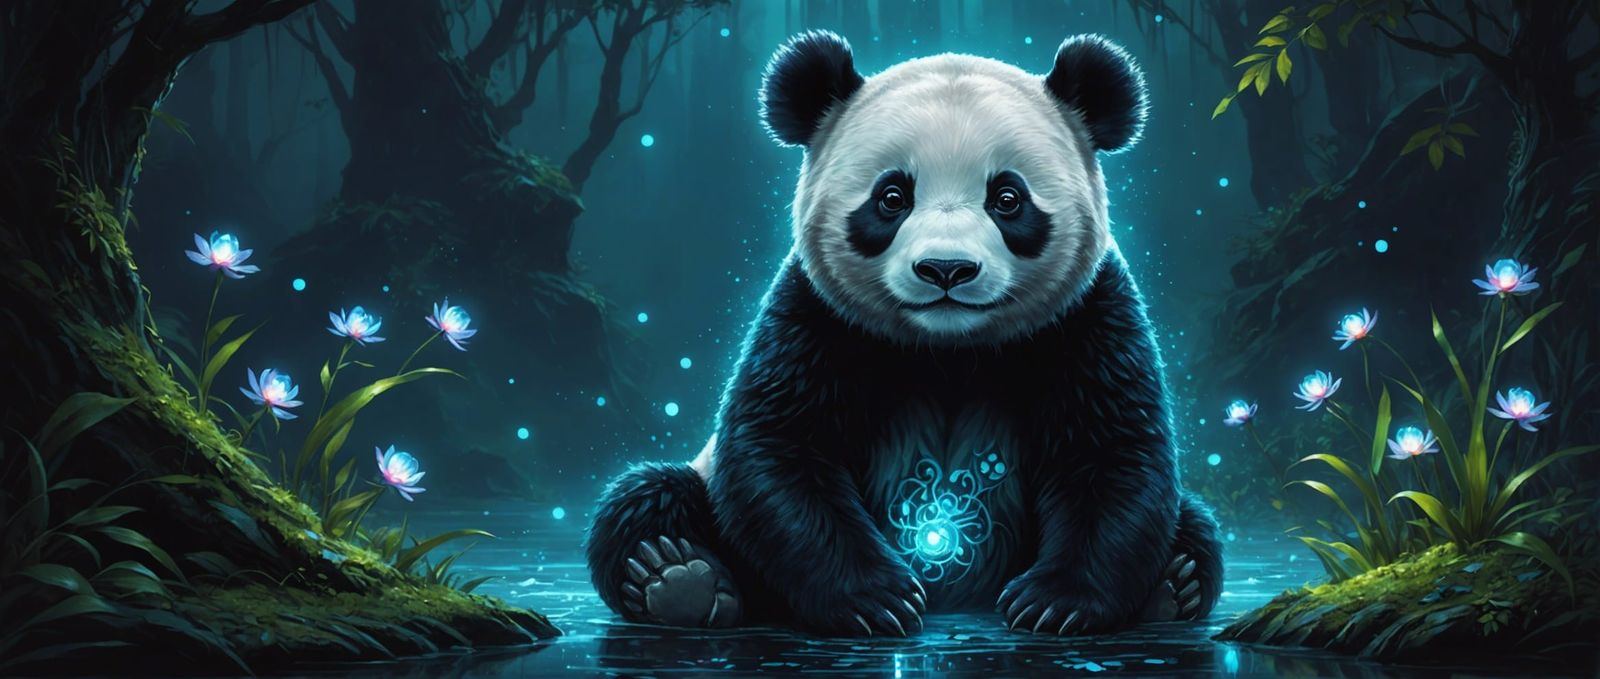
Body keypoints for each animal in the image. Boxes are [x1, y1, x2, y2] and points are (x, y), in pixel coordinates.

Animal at [586, 31, 1222, 637]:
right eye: (892, 197)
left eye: (1007, 198)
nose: (946, 269)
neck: (949, 348)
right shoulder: (817, 318)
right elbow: (779, 447)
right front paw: (878, 600)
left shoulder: (1086, 318)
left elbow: (1111, 452)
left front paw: (1054, 603)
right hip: (701, 480)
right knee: (647, 497)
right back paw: (675, 578)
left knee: (1195, 524)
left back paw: (1174, 586)